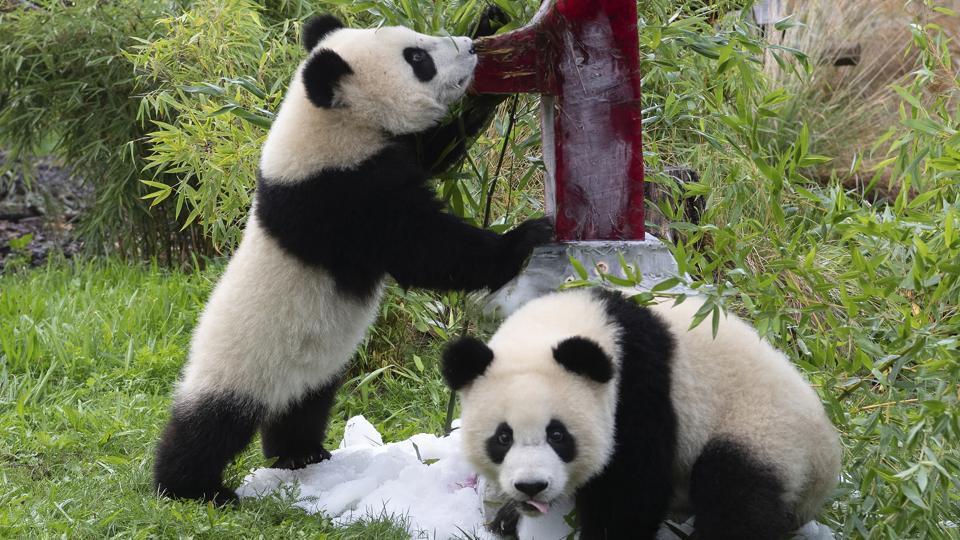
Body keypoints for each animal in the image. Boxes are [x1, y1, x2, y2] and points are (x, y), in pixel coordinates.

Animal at [154, 11, 552, 506]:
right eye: (416, 59)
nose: (468, 48)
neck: (326, 120)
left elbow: (436, 150)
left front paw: (492, 35)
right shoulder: (336, 195)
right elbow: (423, 247)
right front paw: (525, 237)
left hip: (310, 370)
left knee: (303, 408)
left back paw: (301, 454)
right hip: (241, 363)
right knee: (208, 426)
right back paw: (189, 487)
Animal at [442, 288, 840, 536]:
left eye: (558, 435)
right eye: (502, 437)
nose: (531, 486)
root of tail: (828, 459)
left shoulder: (638, 392)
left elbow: (632, 493)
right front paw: (507, 515)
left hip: (764, 432)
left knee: (735, 496)